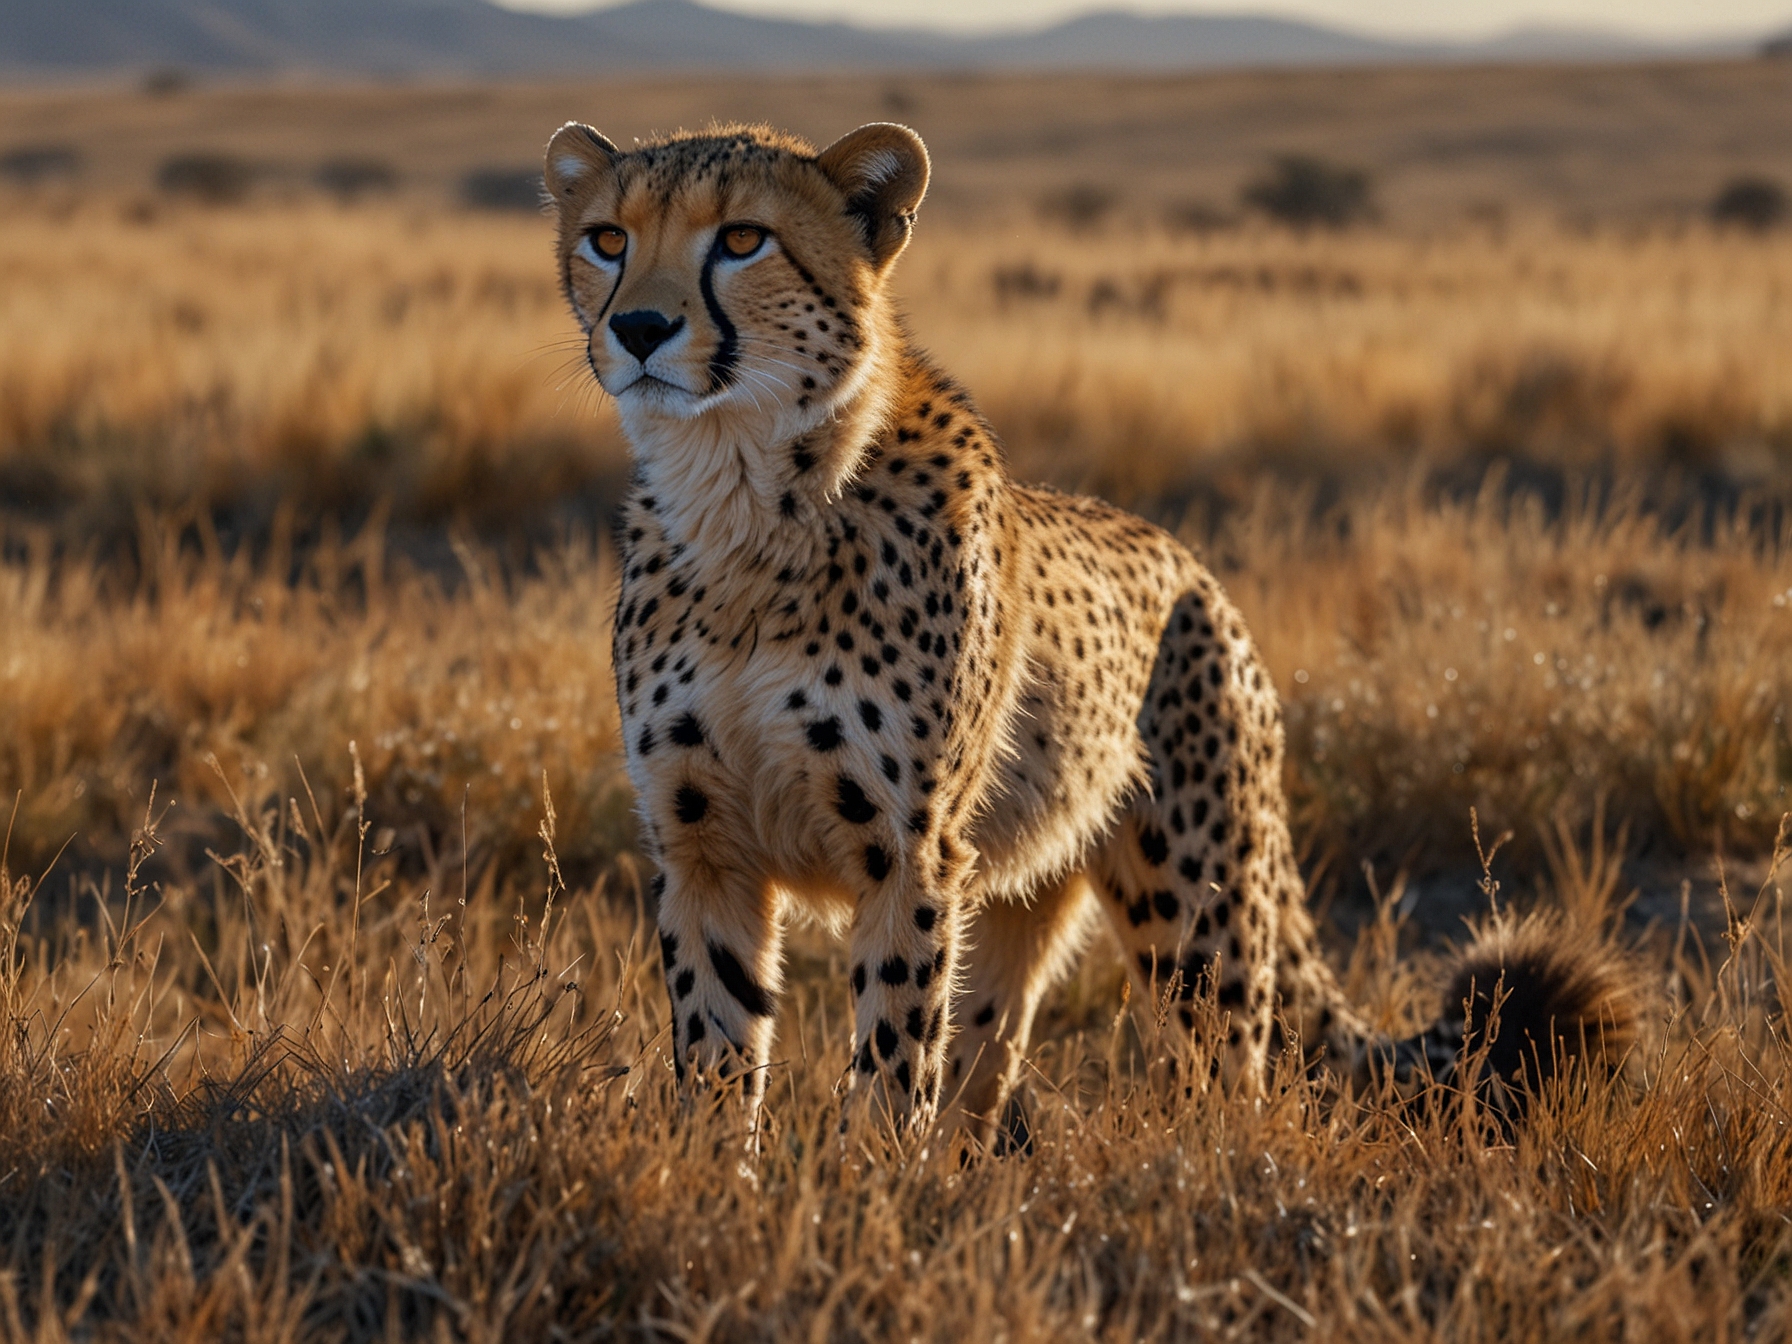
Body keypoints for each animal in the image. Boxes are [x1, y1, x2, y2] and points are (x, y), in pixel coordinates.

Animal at [543, 118, 1636, 1141]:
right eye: (607, 238)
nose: (639, 326)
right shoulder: (701, 844)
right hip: (1020, 892)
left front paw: (866, 1189)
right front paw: (719, 1177)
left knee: (1227, 1075)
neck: (742, 500)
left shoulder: (909, 851)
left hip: (1196, 909)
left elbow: (892, 1056)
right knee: (983, 1061)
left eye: (741, 239)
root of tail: (1196, 568)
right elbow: (717, 1047)